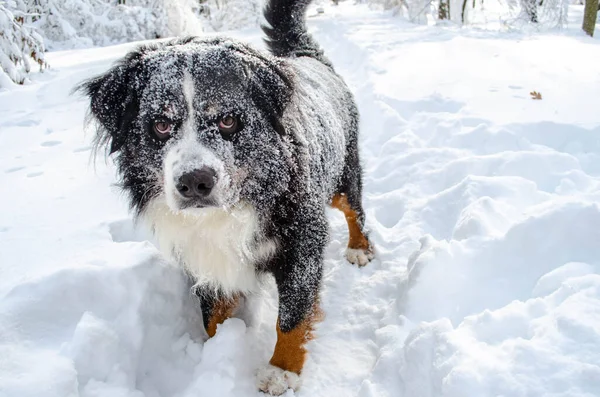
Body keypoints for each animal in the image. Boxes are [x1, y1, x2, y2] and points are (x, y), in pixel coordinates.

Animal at [78, 0, 370, 392]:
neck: (231, 210)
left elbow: (292, 316)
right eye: (160, 125)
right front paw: (218, 354)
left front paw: (281, 371)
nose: (194, 182)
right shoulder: (205, 257)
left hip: (343, 177)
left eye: (228, 120)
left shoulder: (302, 245)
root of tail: (308, 58)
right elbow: (212, 316)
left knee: (355, 210)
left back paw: (360, 248)